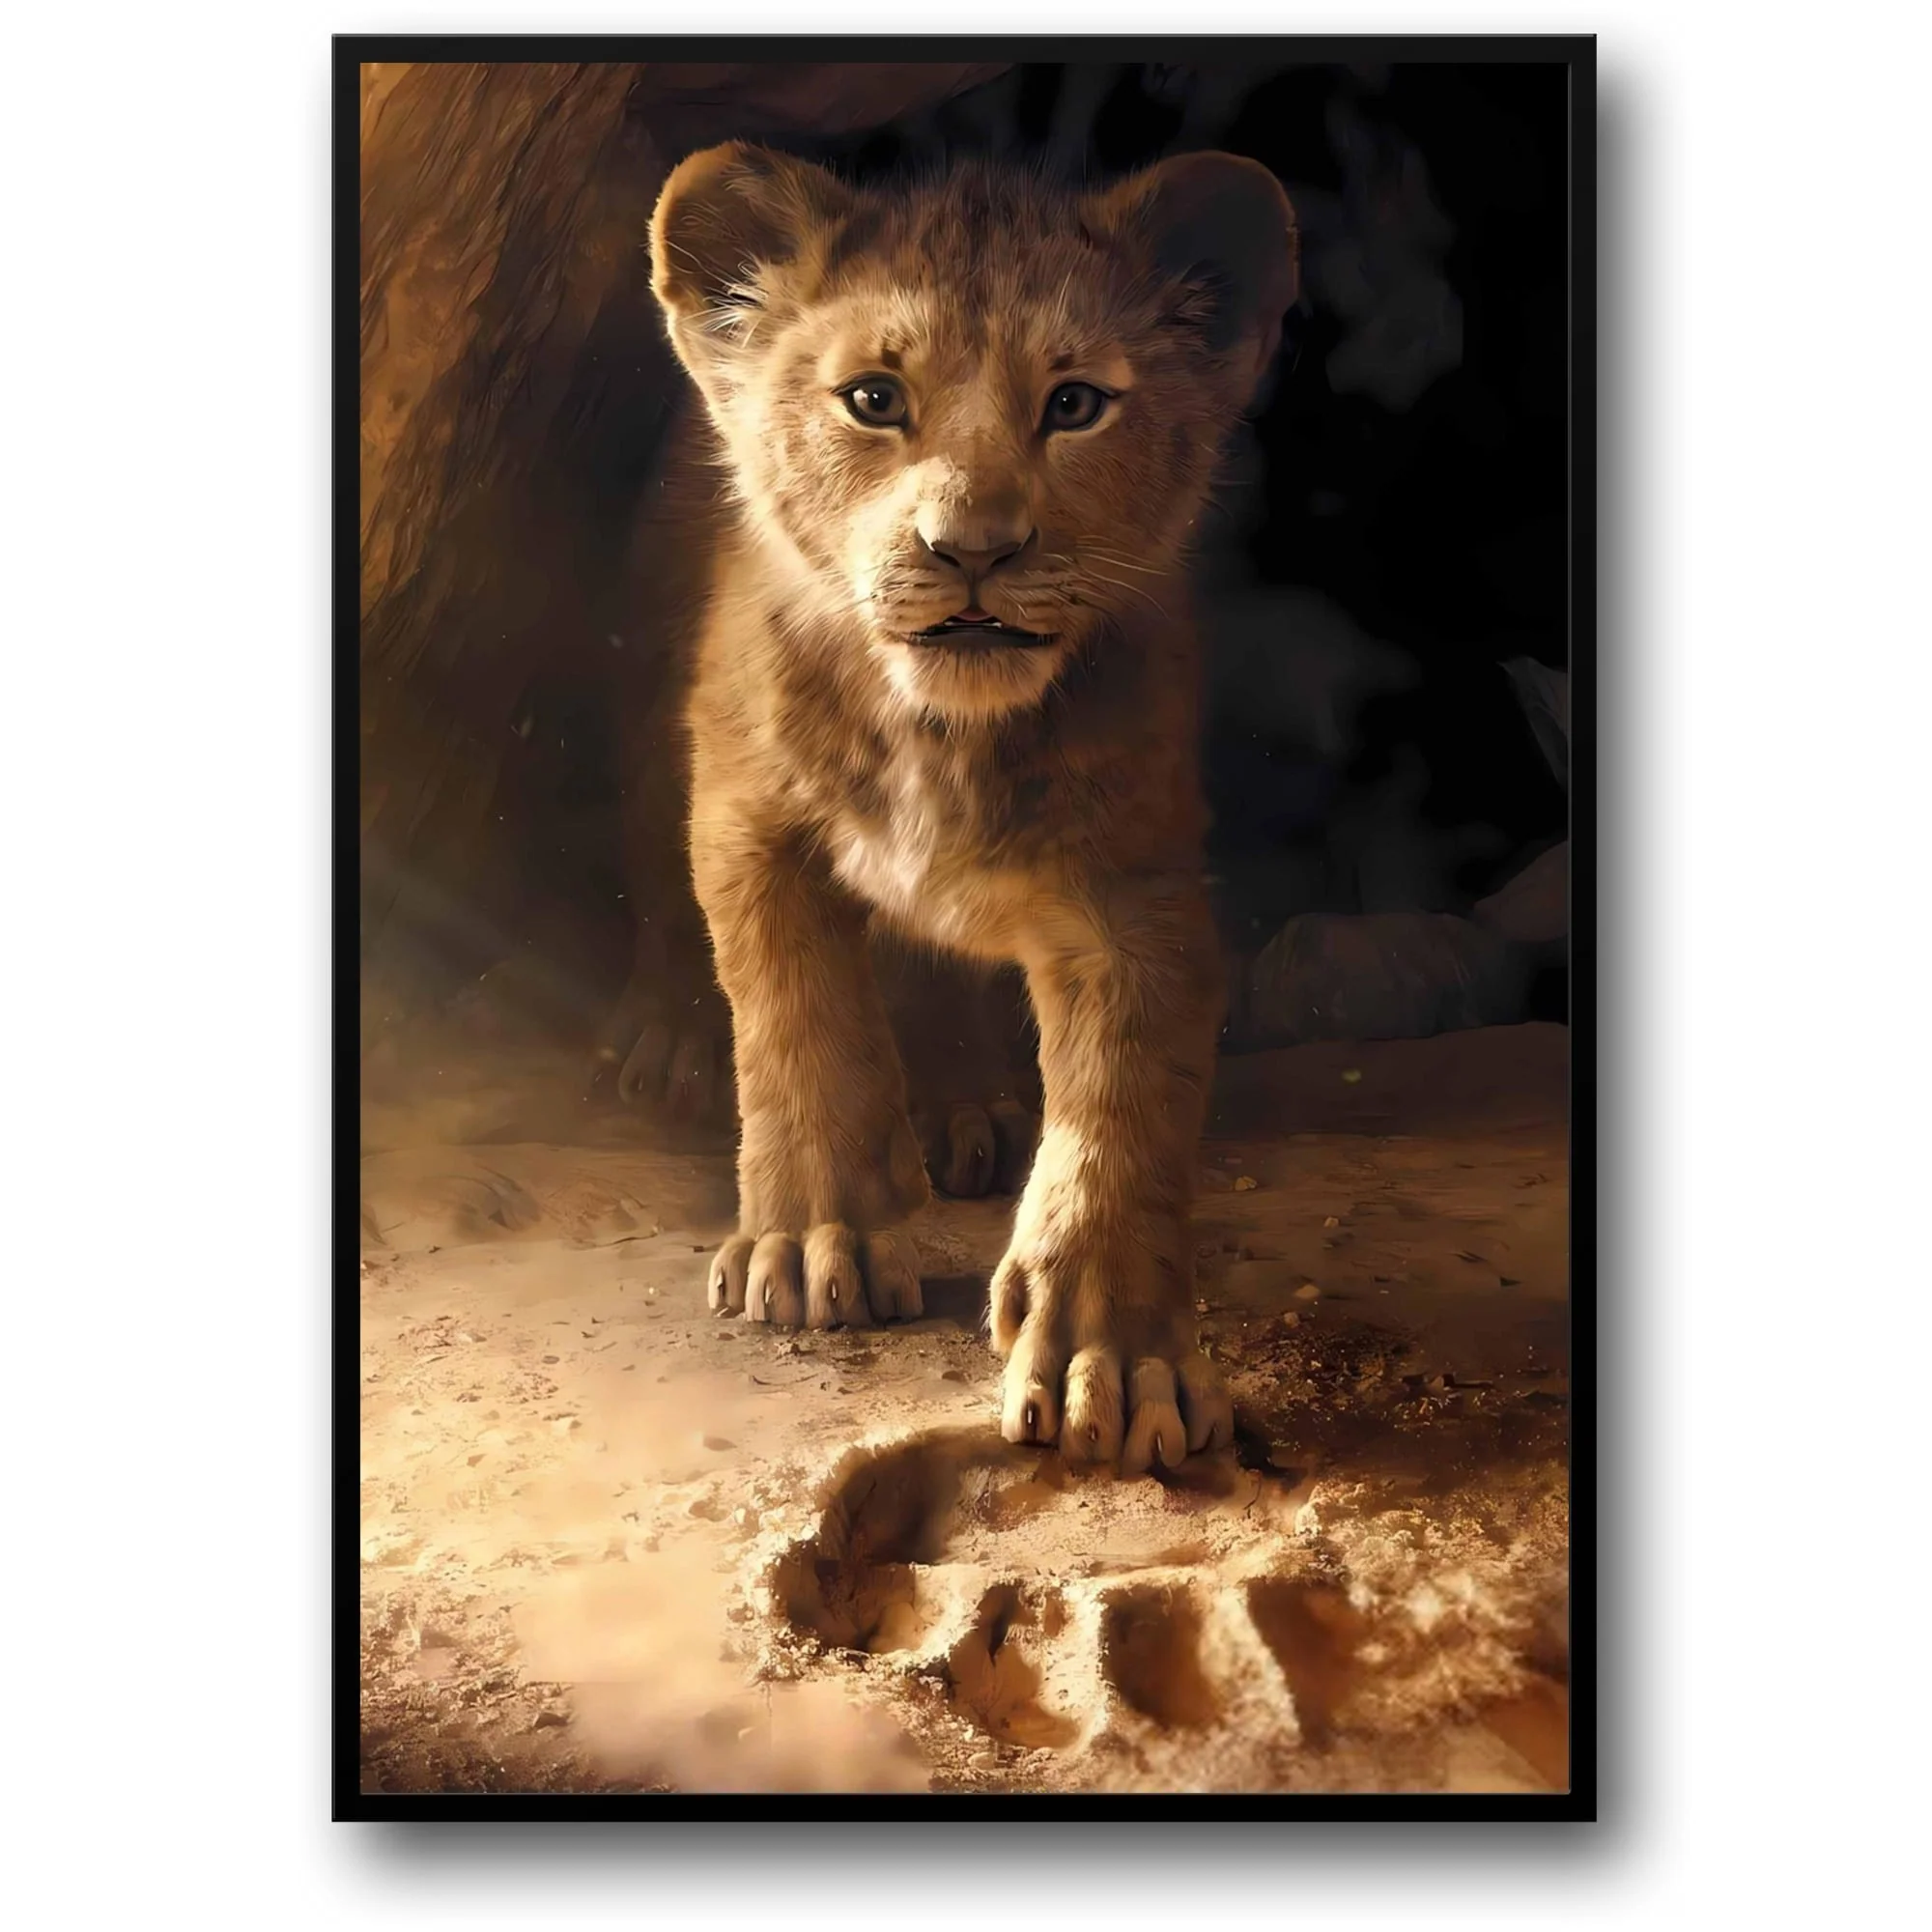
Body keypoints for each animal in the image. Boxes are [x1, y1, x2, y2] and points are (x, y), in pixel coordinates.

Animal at [646, 142, 1297, 1473]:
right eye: (872, 398)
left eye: (1075, 404)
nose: (973, 550)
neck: (939, 731)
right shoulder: (745, 816)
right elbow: (796, 1022)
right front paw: (811, 1244)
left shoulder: (1133, 887)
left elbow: (1121, 1110)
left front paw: (1115, 1360)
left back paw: (963, 1110)